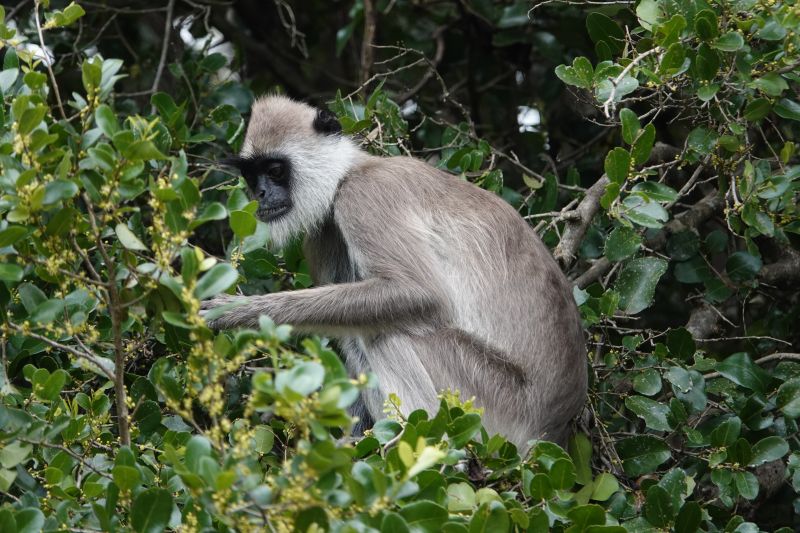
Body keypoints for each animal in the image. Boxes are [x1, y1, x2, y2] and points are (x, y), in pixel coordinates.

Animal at [202, 93, 588, 446]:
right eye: (252, 176)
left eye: (275, 170)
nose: (261, 195)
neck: (350, 173)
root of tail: (552, 429)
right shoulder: (324, 231)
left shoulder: (364, 196)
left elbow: (420, 294)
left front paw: (238, 312)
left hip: (492, 402)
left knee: (386, 330)